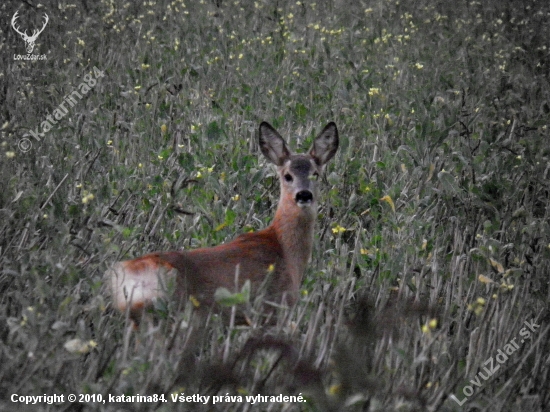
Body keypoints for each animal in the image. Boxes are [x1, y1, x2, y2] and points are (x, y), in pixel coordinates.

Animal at [106, 120, 340, 324]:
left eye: (316, 174)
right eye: (287, 175)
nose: (303, 195)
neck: (284, 249)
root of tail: (128, 273)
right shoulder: (273, 308)